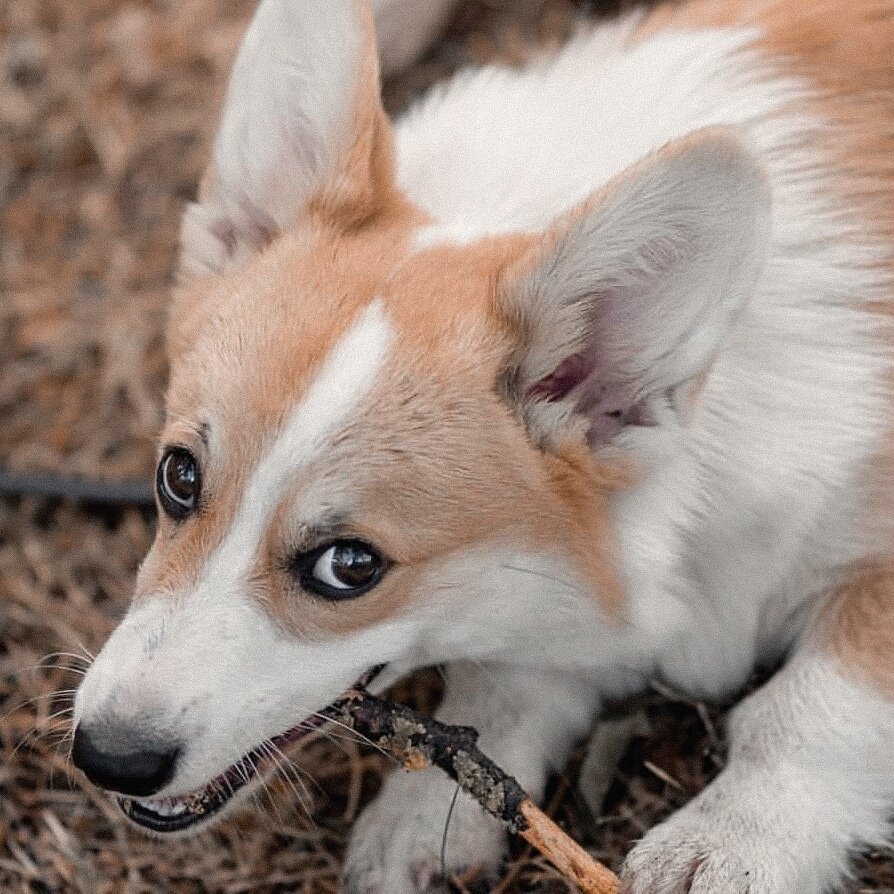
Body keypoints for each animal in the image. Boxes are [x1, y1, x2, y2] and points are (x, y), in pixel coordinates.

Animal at [72, 1, 894, 894]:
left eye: (349, 566)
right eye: (178, 477)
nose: (104, 757)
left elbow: (814, 707)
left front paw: (732, 842)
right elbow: (501, 683)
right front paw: (426, 817)